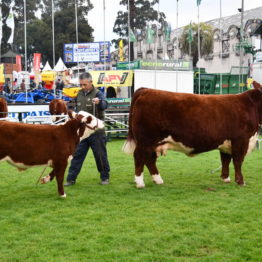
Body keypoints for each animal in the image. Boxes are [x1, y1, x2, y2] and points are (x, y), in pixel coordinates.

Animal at [123, 88, 262, 188]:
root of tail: (146, 90)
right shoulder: (241, 140)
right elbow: (238, 161)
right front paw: (240, 181)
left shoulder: (226, 143)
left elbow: (225, 160)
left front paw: (225, 179)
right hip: (146, 140)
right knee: (139, 157)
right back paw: (140, 183)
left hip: (154, 143)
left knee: (150, 160)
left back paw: (158, 180)